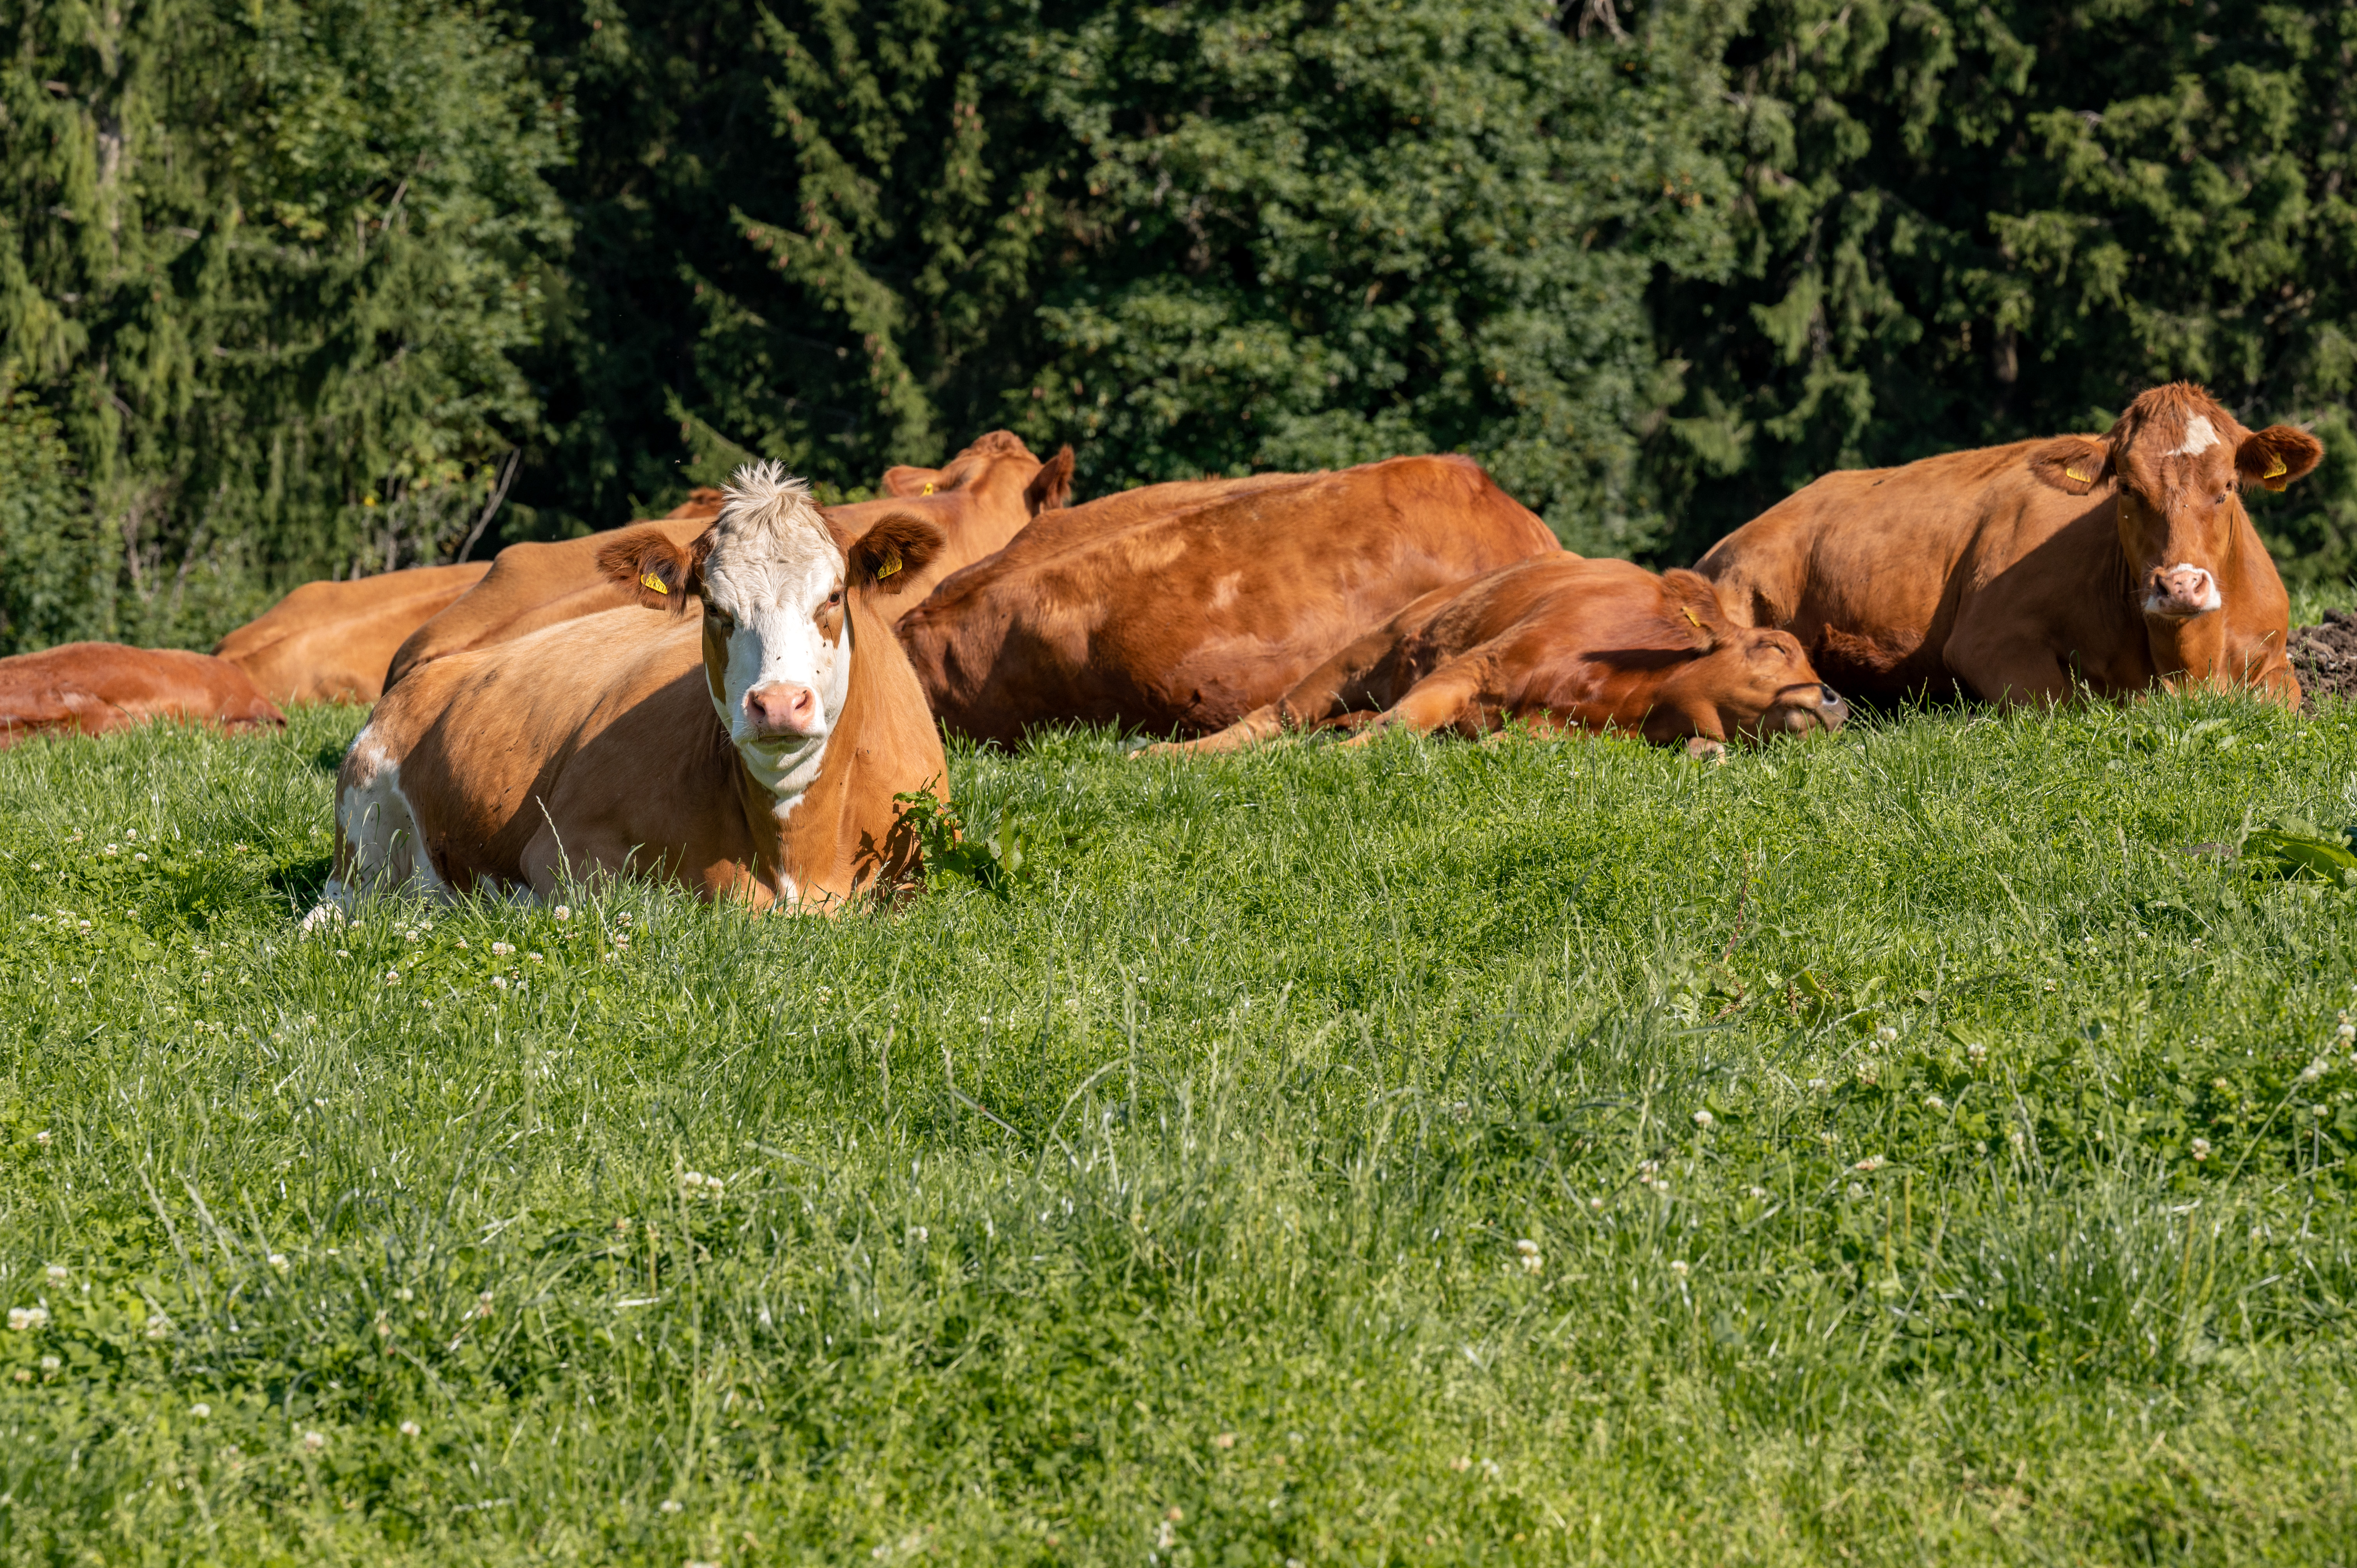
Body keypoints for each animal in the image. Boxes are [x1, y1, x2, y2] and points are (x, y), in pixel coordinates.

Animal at [317, 464, 948, 914]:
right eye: (714, 607)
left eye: (835, 597)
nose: (776, 705)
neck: (795, 853)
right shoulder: (561, 847)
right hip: (360, 839)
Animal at [1152, 558, 1846, 758]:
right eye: (1774, 645)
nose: (1834, 697)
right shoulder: (1475, 666)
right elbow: (1399, 725)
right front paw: (1335, 762)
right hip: (1368, 651)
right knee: (1279, 716)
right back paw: (1168, 757)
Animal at [1695, 382, 2322, 706]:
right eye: (2127, 488)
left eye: (2226, 489)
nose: (2180, 586)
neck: (2188, 664)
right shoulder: (1987, 640)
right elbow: (2065, 703)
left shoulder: (2277, 664)